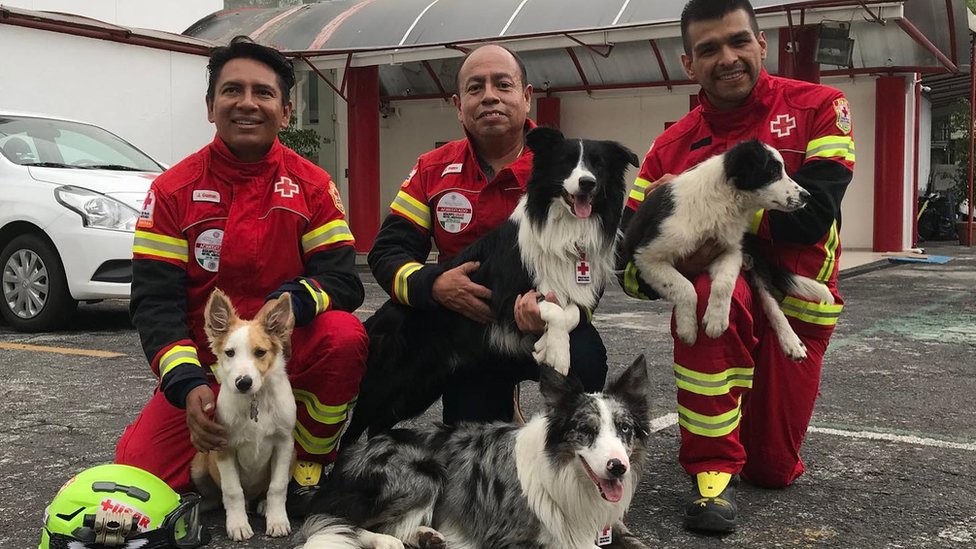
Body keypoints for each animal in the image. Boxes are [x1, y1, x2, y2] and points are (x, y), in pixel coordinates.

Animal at [294, 356, 652, 548]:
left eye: (624, 429)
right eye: (586, 430)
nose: (617, 467)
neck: (568, 478)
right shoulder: (507, 536)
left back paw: (427, 535)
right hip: (423, 472)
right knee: (332, 520)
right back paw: (384, 540)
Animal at [346, 127, 640, 440]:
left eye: (598, 165)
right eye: (566, 162)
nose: (587, 183)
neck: (565, 227)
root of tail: (376, 319)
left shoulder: (577, 289)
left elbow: (570, 312)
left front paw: (545, 344)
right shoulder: (504, 295)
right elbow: (553, 310)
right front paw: (558, 351)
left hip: (419, 387)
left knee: (378, 425)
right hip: (387, 383)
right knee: (353, 430)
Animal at [620, 137, 836, 360]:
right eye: (773, 171)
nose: (807, 196)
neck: (724, 201)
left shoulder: (730, 250)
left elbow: (724, 284)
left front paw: (716, 321)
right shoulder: (646, 256)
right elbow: (685, 288)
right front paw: (688, 329)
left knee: (772, 305)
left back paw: (792, 342)